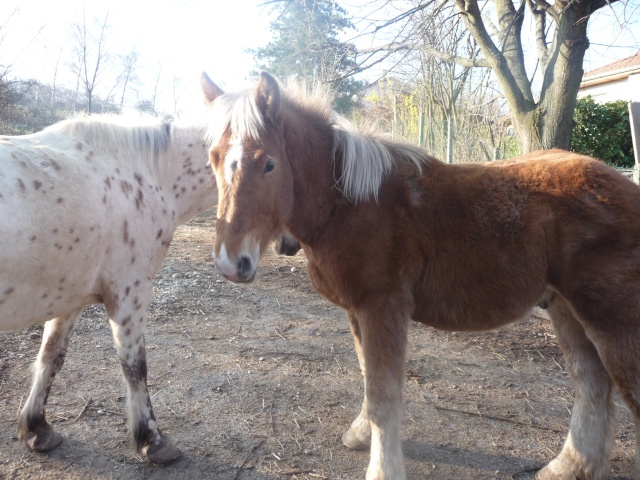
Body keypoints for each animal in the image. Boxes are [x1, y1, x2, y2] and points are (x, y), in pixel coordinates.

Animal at [0, 114, 215, 464]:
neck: (147, 172)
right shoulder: (130, 294)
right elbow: (135, 367)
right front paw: (152, 440)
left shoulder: (69, 300)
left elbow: (51, 357)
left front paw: (37, 429)